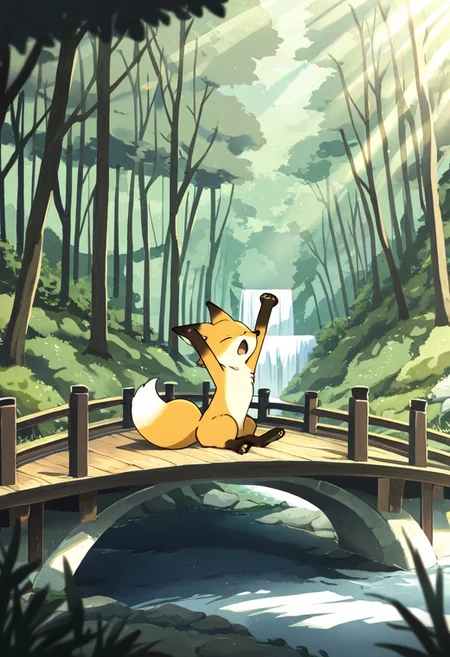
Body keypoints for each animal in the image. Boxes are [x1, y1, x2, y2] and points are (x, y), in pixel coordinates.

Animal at [131, 292, 286, 454]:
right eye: (228, 337)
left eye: (246, 329)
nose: (254, 333)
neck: (236, 367)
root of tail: (197, 428)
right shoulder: (218, 371)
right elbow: (204, 350)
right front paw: (191, 333)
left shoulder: (251, 362)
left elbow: (260, 338)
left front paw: (268, 300)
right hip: (226, 420)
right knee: (226, 442)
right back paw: (241, 445)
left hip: (248, 422)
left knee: (249, 436)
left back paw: (266, 437)